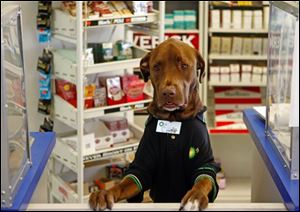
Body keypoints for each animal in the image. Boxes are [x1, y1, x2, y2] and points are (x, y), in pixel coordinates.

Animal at [89, 39, 220, 211]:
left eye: (184, 65)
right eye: (156, 67)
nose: (168, 92)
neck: (174, 120)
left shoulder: (205, 164)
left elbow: (203, 181)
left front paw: (195, 197)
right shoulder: (141, 167)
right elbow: (124, 183)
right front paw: (105, 193)